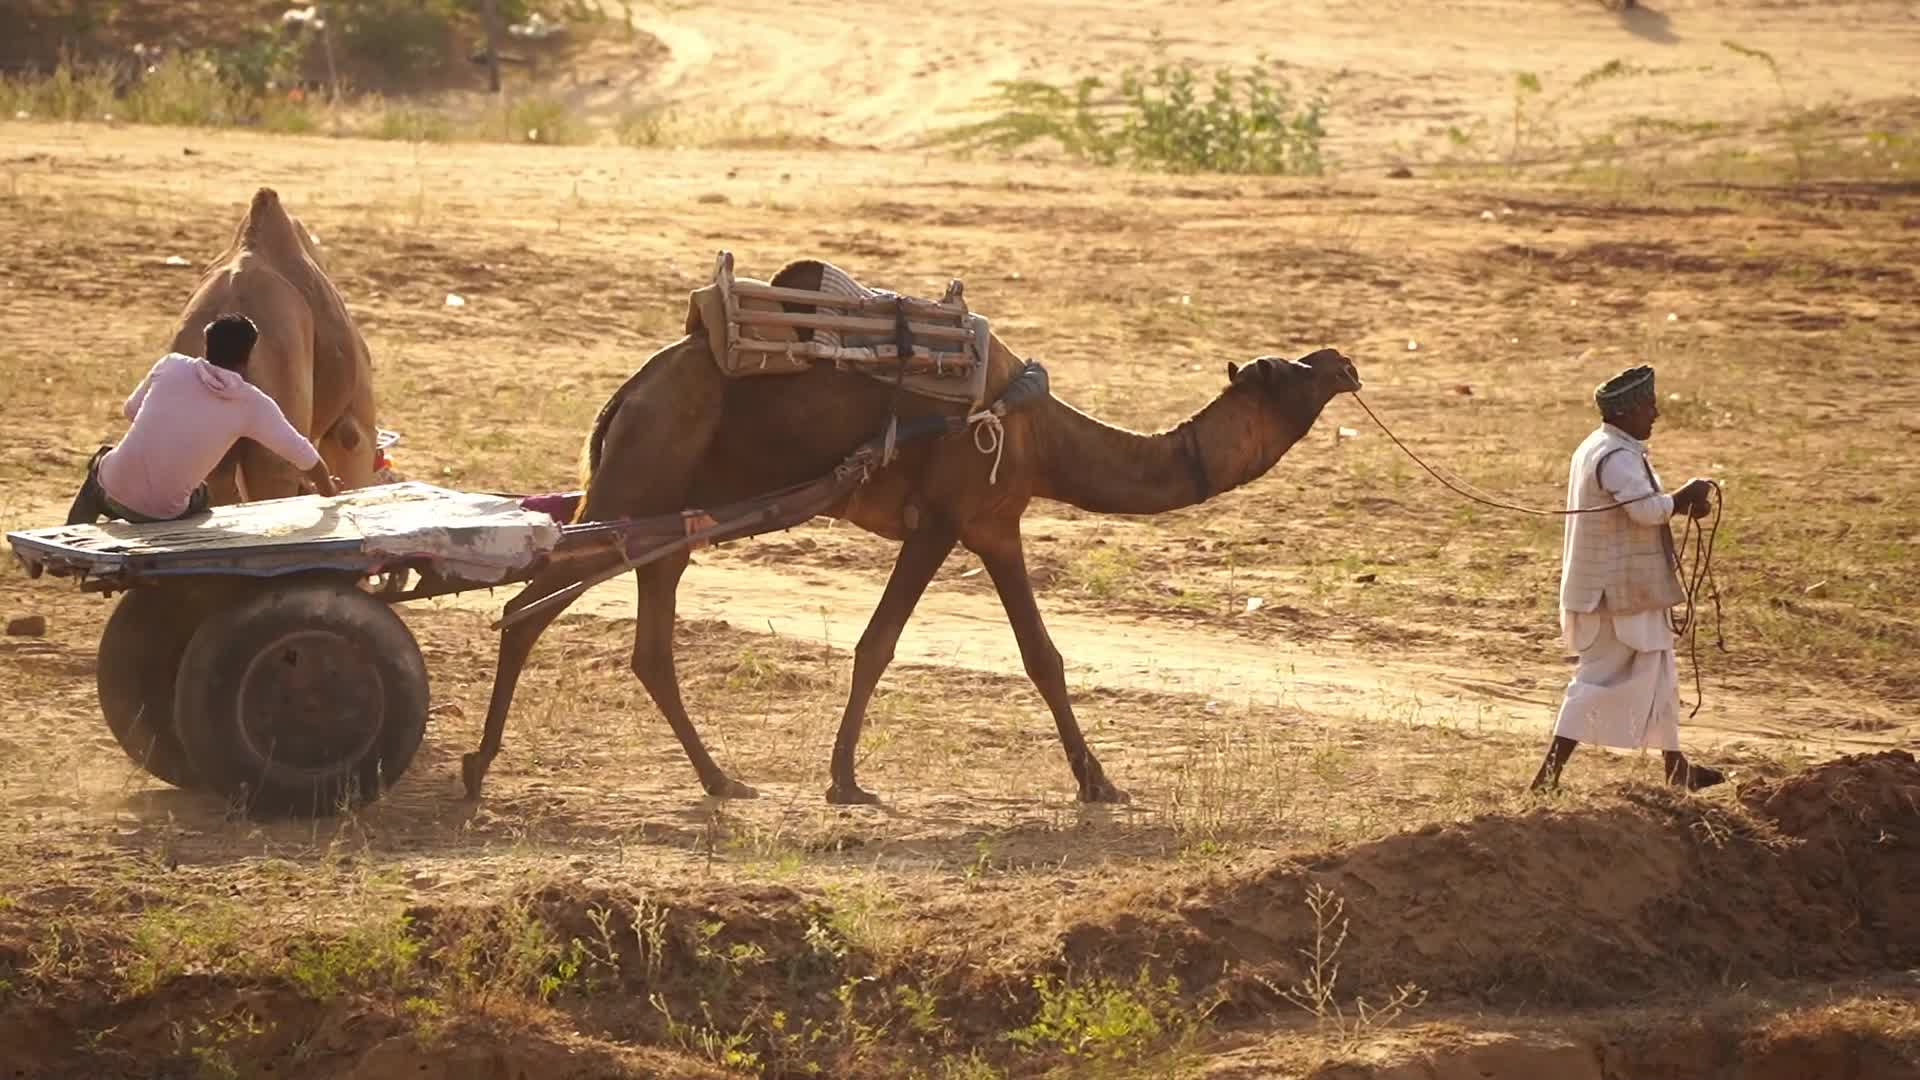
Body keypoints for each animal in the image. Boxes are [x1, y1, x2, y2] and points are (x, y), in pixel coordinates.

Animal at [461, 260, 1362, 806]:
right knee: (527, 608)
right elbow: (885, 644)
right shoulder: (952, 517)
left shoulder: (995, 523)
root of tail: (624, 396)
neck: (1037, 430)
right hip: (636, 478)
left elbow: (1041, 657)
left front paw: (1096, 782)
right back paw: (477, 766)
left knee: (646, 645)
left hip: (674, 513)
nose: (1344, 361)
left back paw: (721, 781)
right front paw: (846, 779)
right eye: (1288, 372)